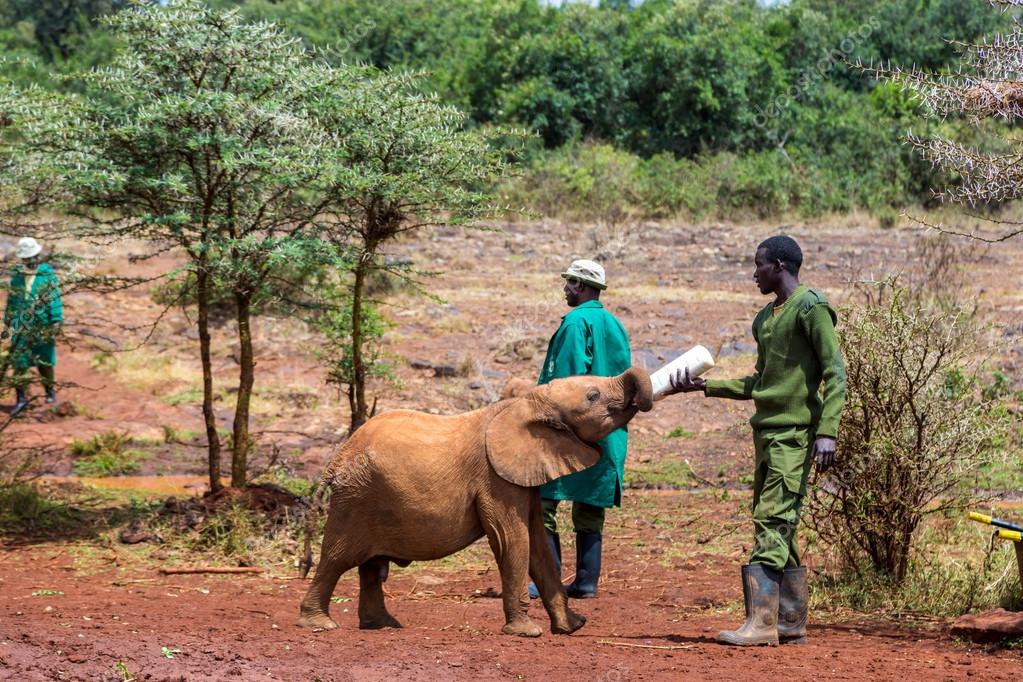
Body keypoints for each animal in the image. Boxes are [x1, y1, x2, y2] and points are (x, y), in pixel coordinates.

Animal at [296, 366, 650, 638]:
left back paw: (385, 626)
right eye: (593, 396)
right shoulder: (496, 479)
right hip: (355, 499)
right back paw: (319, 624)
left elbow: (538, 544)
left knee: (368, 566)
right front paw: (527, 633)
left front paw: (572, 627)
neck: (528, 401)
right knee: (337, 558)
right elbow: (513, 539)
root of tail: (338, 456)